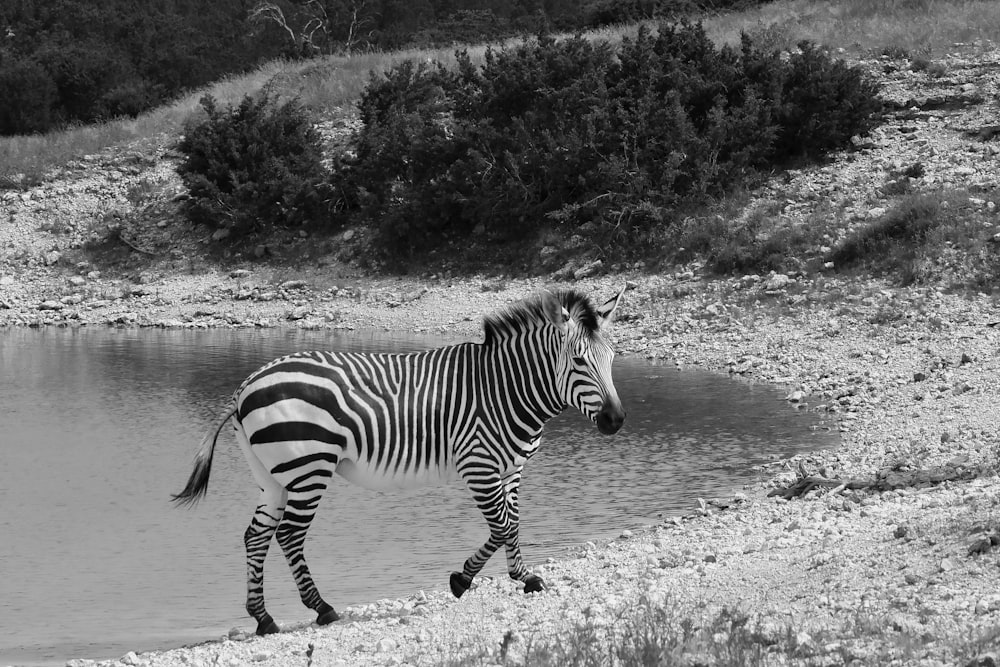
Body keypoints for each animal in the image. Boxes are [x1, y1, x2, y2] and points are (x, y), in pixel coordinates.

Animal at [172, 286, 624, 632]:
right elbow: (502, 525)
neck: (505, 389)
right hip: (308, 467)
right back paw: (322, 608)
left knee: (257, 535)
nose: (616, 420)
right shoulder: (478, 464)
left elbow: (510, 523)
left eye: (613, 358)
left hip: (272, 476)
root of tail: (246, 384)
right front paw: (472, 579)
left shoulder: (512, 468)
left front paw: (512, 577)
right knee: (289, 536)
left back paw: (263, 618)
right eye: (579, 361)